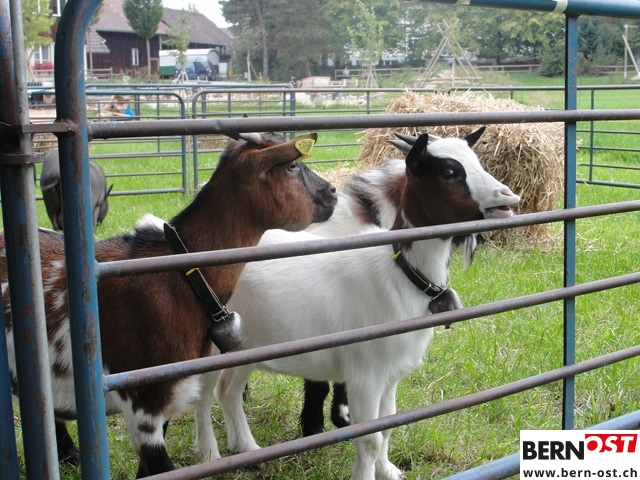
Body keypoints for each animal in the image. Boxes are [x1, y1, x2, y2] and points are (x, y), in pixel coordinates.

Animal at [194, 126, 520, 480]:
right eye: (448, 172)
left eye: (477, 161)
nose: (508, 197)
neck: (401, 274)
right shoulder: (366, 374)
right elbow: (370, 437)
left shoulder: (391, 375)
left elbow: (388, 425)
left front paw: (389, 471)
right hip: (210, 348)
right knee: (204, 395)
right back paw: (209, 455)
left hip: (248, 344)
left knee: (228, 390)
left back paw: (248, 449)